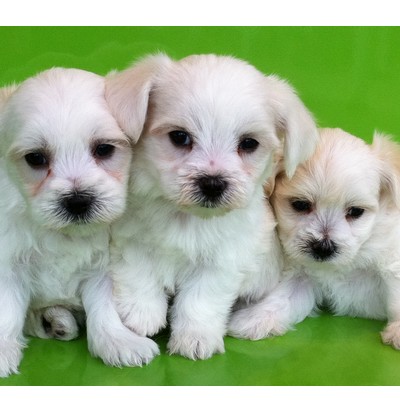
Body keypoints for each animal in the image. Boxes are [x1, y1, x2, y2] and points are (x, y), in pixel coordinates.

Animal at [0, 68, 159, 377]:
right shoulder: (9, 264)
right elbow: (7, 311)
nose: (77, 201)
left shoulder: (104, 267)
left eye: (104, 149)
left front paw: (117, 341)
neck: (64, 234)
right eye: (35, 158)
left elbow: (103, 307)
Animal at [105, 53, 319, 360]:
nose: (213, 183)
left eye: (249, 143)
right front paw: (140, 315)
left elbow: (200, 299)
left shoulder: (223, 262)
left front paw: (195, 338)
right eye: (179, 137)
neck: (187, 217)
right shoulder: (131, 239)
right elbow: (139, 273)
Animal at [228, 127, 400, 350]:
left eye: (356, 211)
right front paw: (254, 319)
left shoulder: (391, 261)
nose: (323, 248)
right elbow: (283, 297)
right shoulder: (303, 276)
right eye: (300, 204)